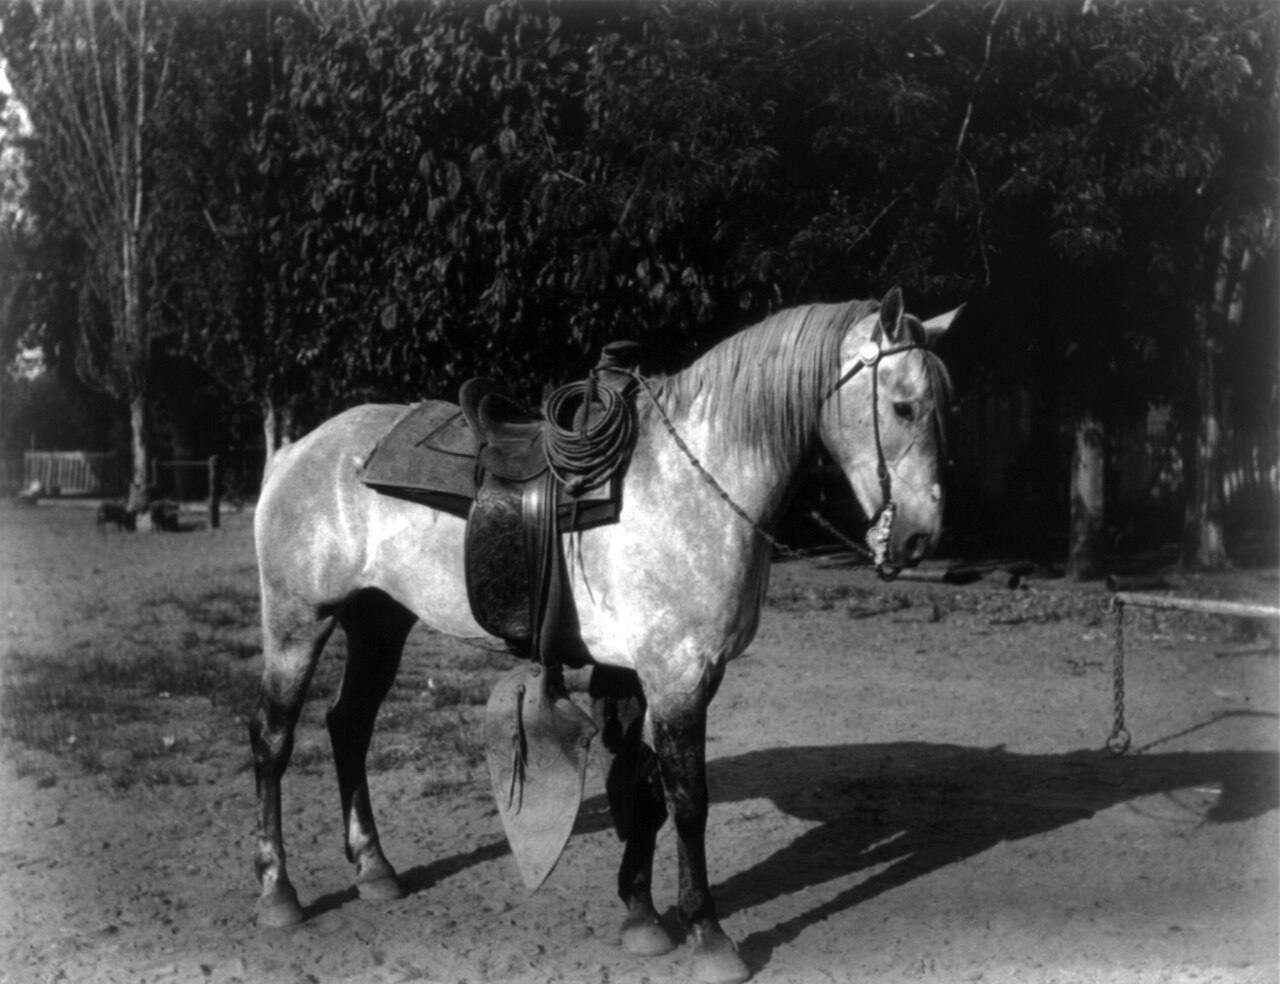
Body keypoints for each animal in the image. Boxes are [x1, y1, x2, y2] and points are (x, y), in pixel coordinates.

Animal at [249, 287, 959, 984]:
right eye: (902, 406)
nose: (921, 538)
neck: (695, 480)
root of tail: (295, 451)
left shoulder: (660, 675)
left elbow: (642, 790)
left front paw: (642, 918)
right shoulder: (677, 676)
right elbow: (688, 801)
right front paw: (708, 935)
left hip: (378, 622)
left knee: (349, 726)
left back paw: (374, 870)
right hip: (298, 621)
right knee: (273, 740)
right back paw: (278, 892)